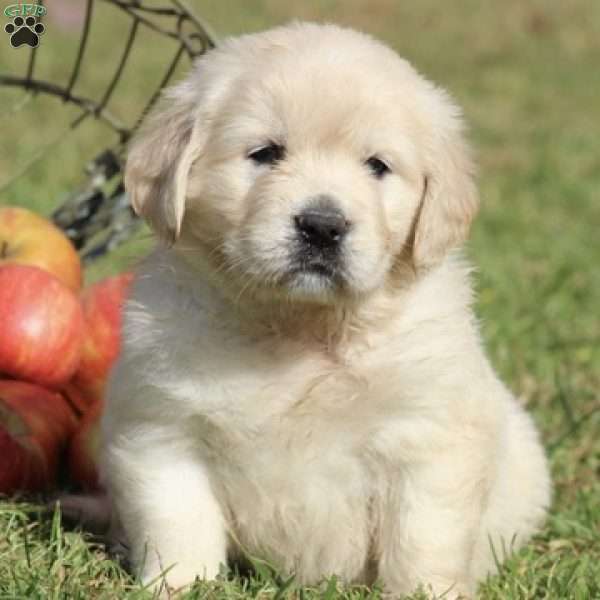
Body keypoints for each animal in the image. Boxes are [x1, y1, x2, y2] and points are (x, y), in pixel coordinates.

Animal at [101, 21, 552, 596]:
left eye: (377, 166)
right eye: (266, 153)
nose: (322, 226)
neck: (302, 327)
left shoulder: (428, 439)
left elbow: (423, 540)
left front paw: (427, 591)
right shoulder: (162, 429)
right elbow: (179, 524)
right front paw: (180, 585)